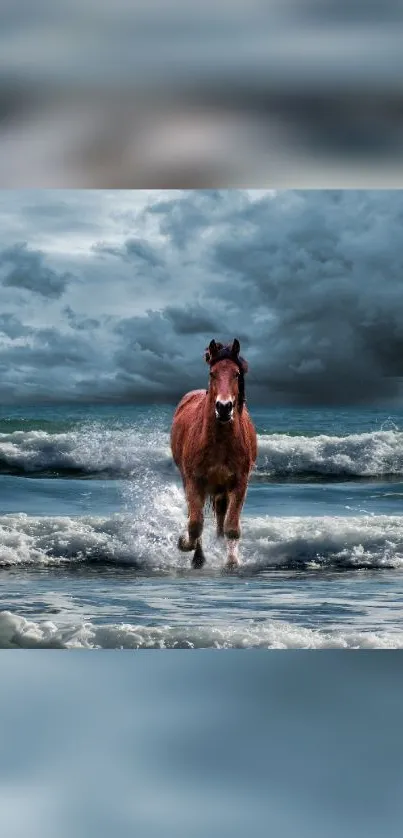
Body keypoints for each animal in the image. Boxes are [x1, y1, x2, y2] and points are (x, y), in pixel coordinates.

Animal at [170, 340, 258, 572]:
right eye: (212, 373)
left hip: (221, 488)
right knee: (195, 515)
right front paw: (186, 546)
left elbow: (232, 526)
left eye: (236, 373)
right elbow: (195, 523)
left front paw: (232, 561)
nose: (224, 407)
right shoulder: (194, 481)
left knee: (220, 514)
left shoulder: (239, 483)